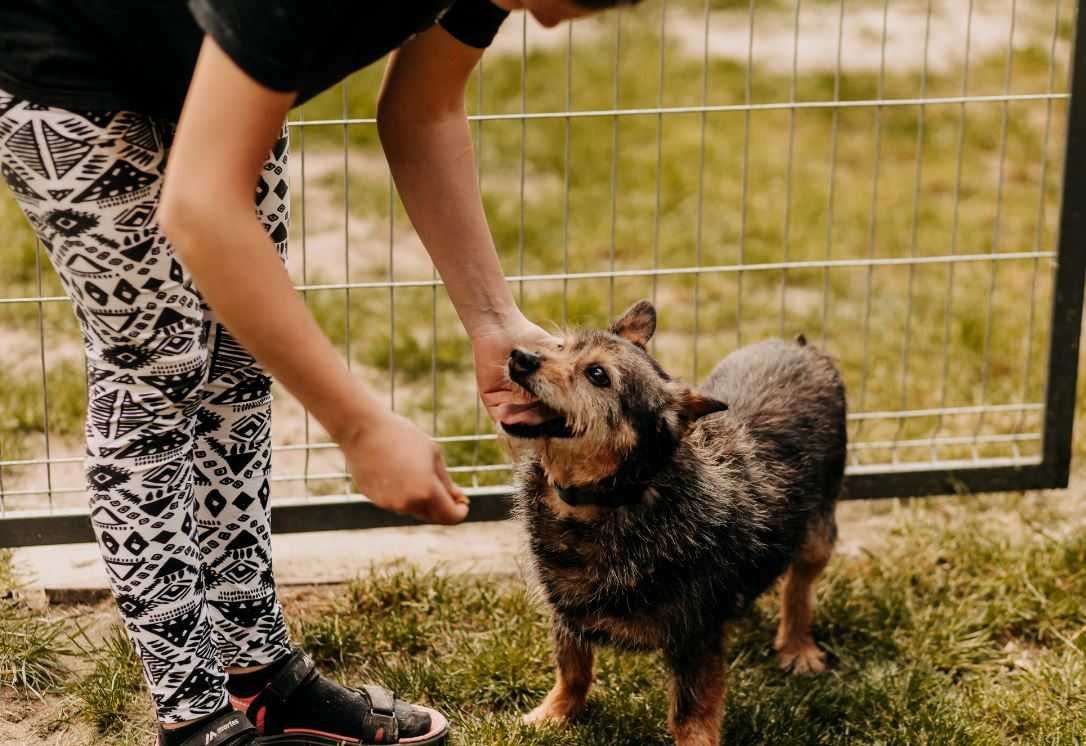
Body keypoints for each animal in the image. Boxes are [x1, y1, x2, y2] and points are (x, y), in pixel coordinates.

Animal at [499, 299, 847, 742]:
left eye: (598, 375)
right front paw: (554, 715)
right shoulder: (568, 611)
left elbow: (690, 711)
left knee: (800, 585)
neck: (610, 500)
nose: (520, 356)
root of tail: (800, 347)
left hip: (819, 530)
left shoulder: (695, 635)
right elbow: (573, 670)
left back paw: (797, 646)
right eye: (561, 346)